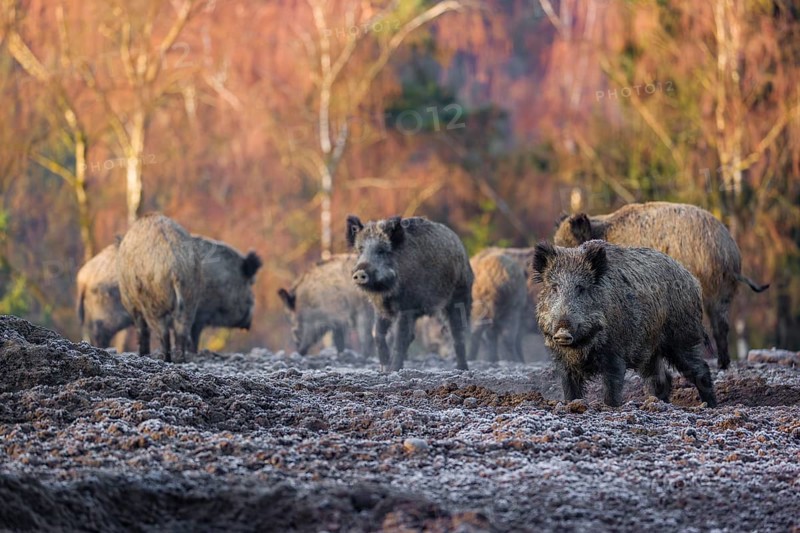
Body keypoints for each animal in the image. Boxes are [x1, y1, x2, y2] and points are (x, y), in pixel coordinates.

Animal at [117, 213, 201, 362]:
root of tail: (175, 267)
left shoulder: (132, 303)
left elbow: (142, 329)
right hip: (191, 296)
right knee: (182, 331)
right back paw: (179, 361)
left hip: (152, 301)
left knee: (162, 333)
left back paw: (163, 359)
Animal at [347, 215, 473, 372]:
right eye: (360, 250)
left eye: (381, 251)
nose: (360, 273)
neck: (386, 291)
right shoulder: (381, 308)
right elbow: (377, 334)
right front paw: (384, 368)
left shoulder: (406, 306)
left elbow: (399, 339)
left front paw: (392, 370)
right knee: (412, 336)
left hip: (460, 296)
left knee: (457, 334)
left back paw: (462, 368)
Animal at [531, 239, 717, 407]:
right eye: (554, 287)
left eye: (581, 288)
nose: (563, 332)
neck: (580, 347)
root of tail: (693, 280)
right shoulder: (563, 361)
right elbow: (570, 390)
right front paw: (571, 404)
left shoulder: (615, 352)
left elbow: (612, 387)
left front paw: (610, 406)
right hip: (649, 349)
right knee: (661, 378)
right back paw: (658, 403)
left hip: (683, 336)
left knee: (700, 368)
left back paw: (710, 405)